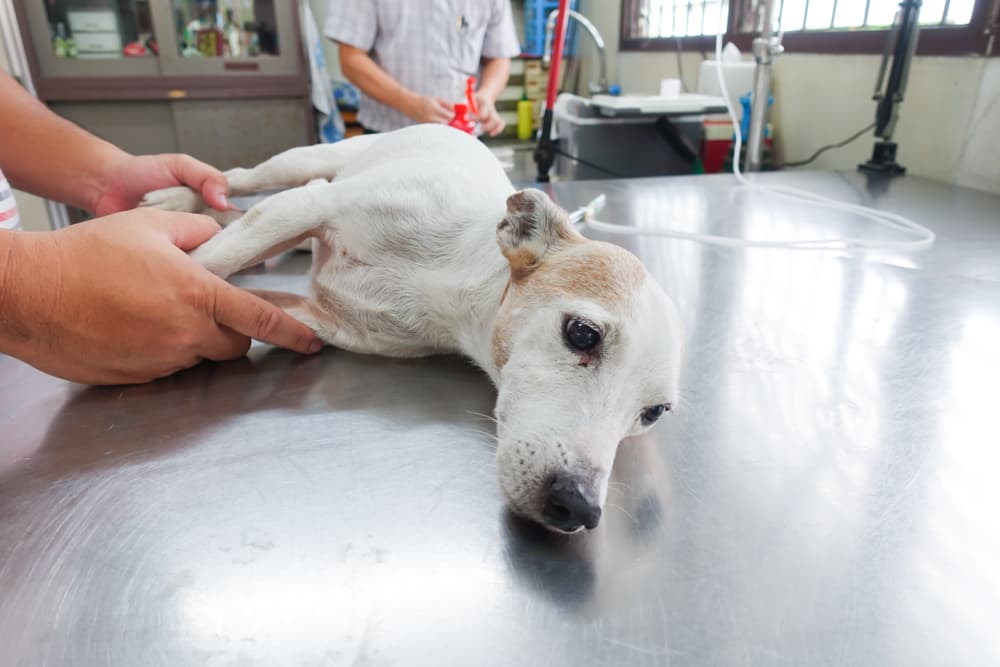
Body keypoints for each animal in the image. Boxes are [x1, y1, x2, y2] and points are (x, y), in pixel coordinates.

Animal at [141, 124, 684, 532]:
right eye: (582, 334)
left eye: (653, 413)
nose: (579, 508)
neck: (456, 283)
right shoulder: (310, 208)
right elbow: (207, 264)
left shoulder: (323, 321)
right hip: (299, 164)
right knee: (238, 179)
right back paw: (175, 198)